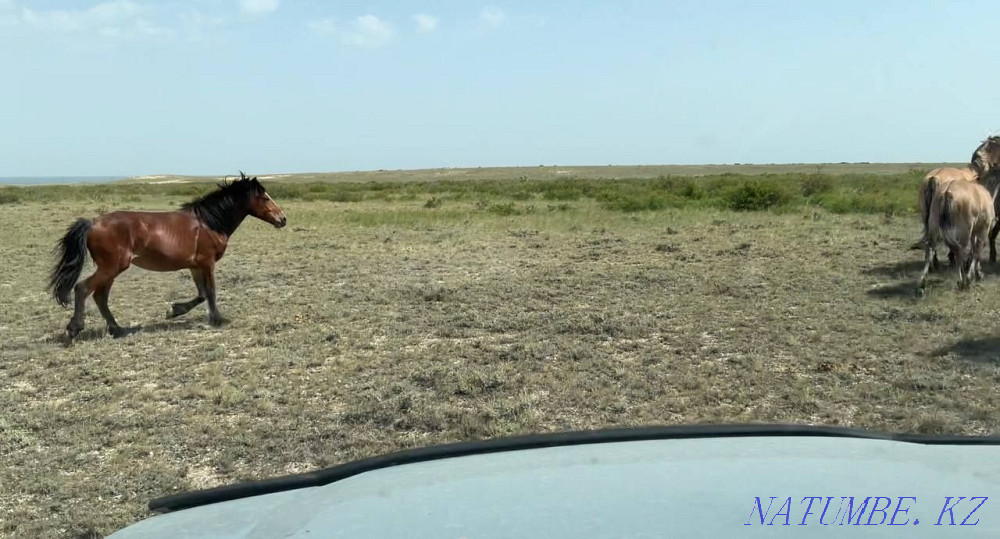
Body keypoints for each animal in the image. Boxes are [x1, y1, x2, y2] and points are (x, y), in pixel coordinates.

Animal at [47, 172, 287, 341]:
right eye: (265, 197)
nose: (282, 219)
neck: (208, 223)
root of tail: (93, 223)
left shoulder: (195, 266)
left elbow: (201, 294)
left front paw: (173, 311)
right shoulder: (207, 263)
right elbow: (211, 291)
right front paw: (218, 319)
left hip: (111, 269)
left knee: (100, 296)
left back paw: (118, 329)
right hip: (112, 267)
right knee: (83, 289)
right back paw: (74, 329)